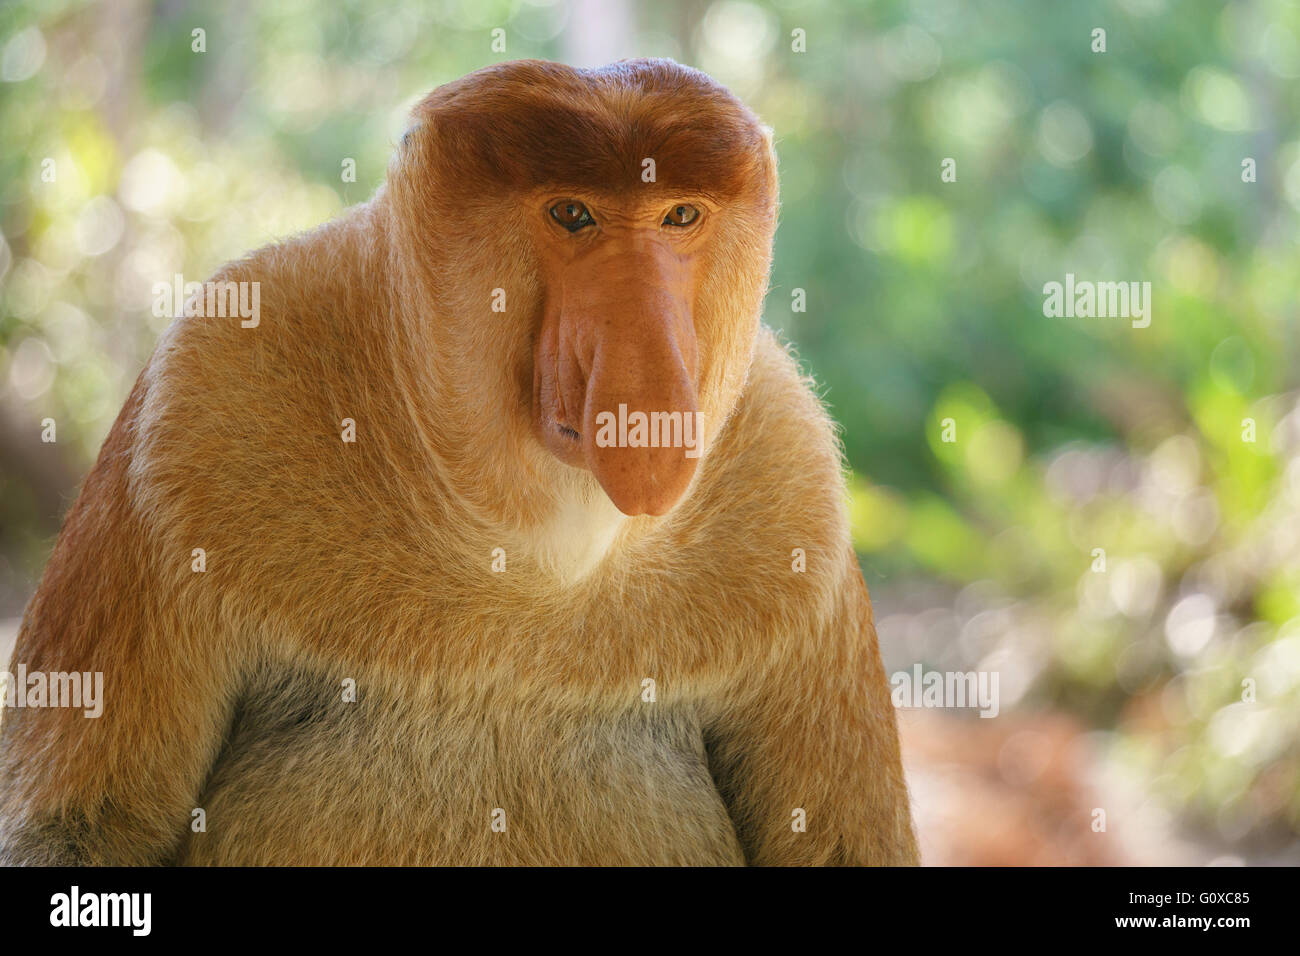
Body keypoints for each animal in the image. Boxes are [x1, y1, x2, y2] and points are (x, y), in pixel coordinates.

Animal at [0, 59, 915, 868]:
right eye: (573, 214)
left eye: (681, 217)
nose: (649, 371)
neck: (525, 538)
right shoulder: (201, 396)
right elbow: (80, 824)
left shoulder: (792, 471)